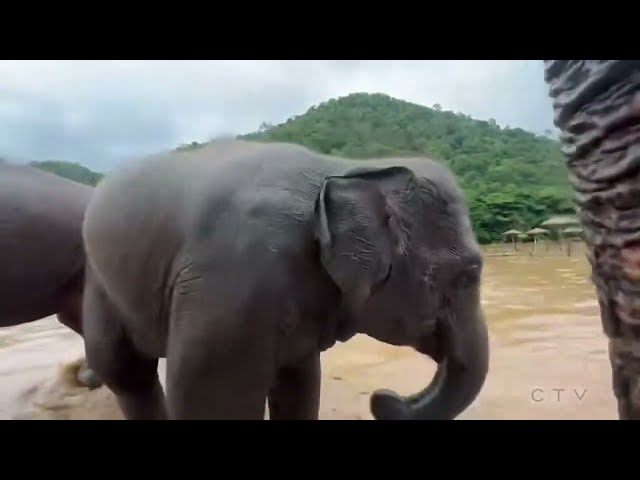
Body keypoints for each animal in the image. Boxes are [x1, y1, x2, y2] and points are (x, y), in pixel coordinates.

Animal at [80, 139, 490, 420]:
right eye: (467, 276)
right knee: (126, 372)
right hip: (100, 283)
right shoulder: (233, 285)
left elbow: (300, 382)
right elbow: (215, 399)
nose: (382, 397)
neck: (346, 167)